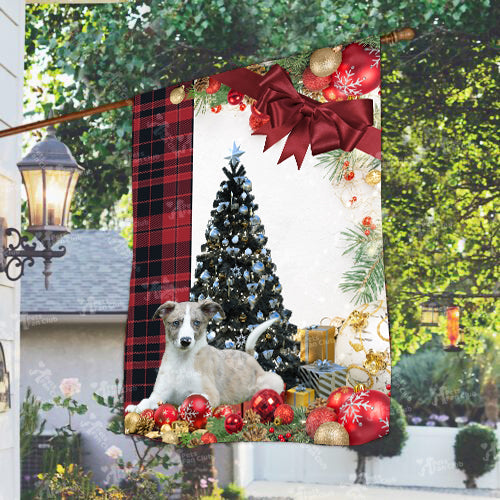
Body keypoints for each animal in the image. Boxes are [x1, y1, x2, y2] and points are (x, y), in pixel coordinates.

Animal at [124, 298, 284, 412]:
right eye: (176, 323)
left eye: (196, 322)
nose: (185, 341)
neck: (182, 362)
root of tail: (249, 356)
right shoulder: (159, 393)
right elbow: (147, 400)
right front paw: (136, 407)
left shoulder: (212, 394)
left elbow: (193, 396)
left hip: (273, 380)